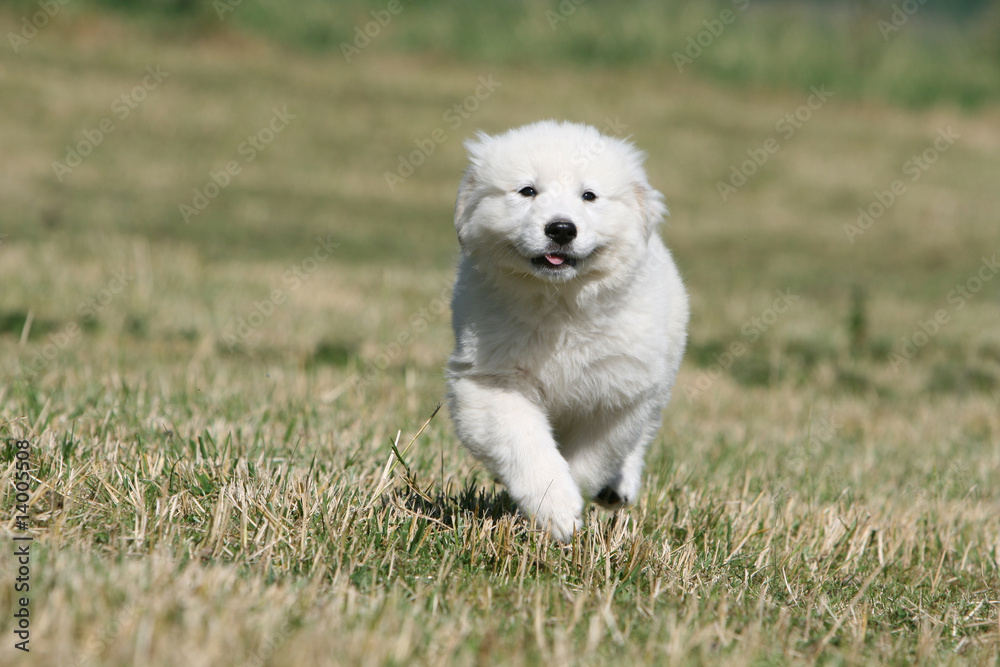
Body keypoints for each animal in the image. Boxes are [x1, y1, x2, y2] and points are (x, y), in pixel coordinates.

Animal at [448, 121, 688, 544]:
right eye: (527, 191)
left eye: (588, 195)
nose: (561, 228)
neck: (560, 300)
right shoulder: (492, 384)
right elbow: (528, 447)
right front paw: (555, 509)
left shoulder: (617, 397)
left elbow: (588, 462)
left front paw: (567, 509)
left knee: (639, 438)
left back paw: (618, 487)